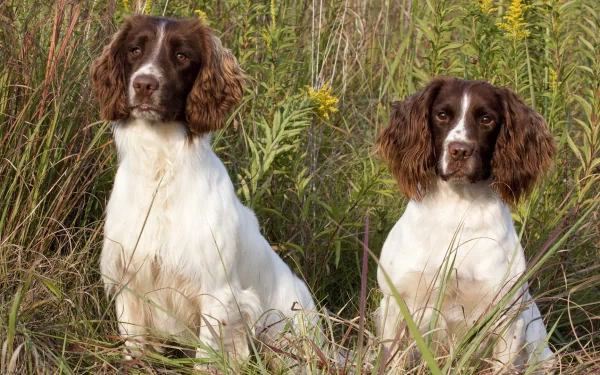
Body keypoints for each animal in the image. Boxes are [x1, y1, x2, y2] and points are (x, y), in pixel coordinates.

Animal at [91, 15, 316, 370]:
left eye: (181, 56)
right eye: (135, 50)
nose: (144, 84)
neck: (161, 169)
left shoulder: (217, 296)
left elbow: (205, 360)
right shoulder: (129, 285)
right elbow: (133, 349)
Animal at [378, 77, 556, 374]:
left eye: (486, 119)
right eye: (441, 115)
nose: (460, 150)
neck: (458, 210)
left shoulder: (507, 316)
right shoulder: (396, 302)